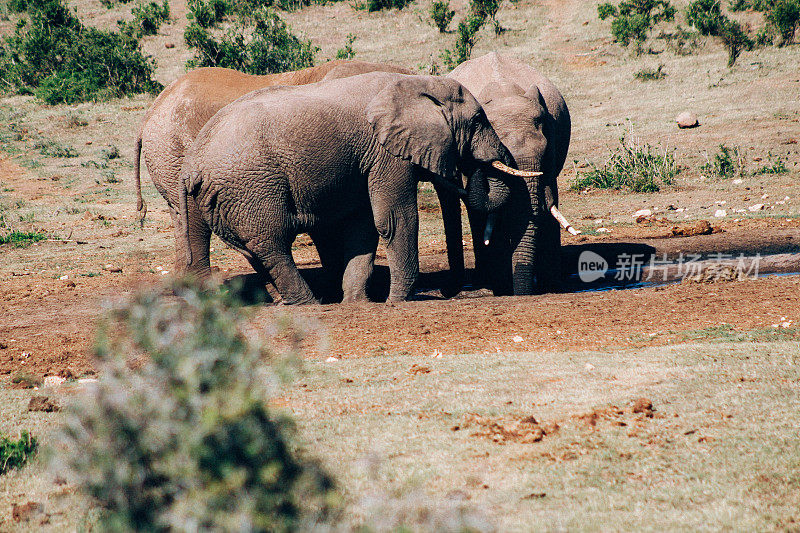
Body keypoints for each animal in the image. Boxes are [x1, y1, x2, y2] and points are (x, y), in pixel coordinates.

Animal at [178, 71, 536, 304]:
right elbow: (394, 219)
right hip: (251, 185)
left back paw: (290, 303)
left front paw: (358, 303)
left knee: (252, 248)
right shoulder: (385, 153)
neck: (417, 82)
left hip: (226, 197)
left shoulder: (366, 160)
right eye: (477, 120)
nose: (462, 292)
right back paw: (310, 303)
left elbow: (364, 225)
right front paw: (399, 301)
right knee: (271, 243)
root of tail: (192, 164)